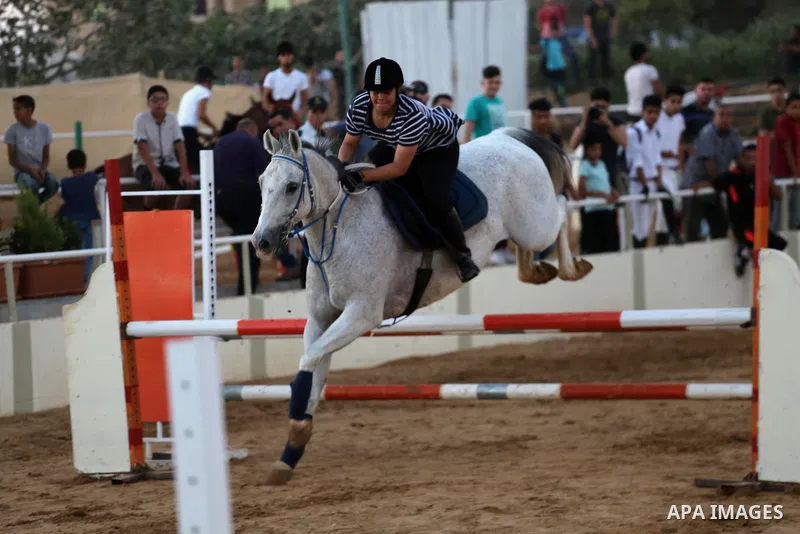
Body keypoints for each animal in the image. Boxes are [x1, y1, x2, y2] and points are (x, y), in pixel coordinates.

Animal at [252, 127, 593, 485]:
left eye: (292, 186)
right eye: (261, 182)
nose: (261, 242)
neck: (338, 230)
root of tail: (508, 137)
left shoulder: (361, 315)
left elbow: (310, 360)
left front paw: (295, 433)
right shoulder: (321, 319)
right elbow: (314, 370)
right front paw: (290, 451)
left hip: (536, 225)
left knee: (562, 209)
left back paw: (572, 267)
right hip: (522, 230)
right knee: (529, 251)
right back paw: (537, 271)